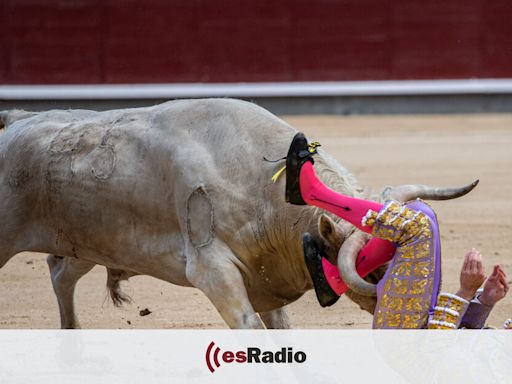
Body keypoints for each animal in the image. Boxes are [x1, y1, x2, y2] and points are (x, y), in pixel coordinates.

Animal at [0, 98, 476, 328]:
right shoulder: (213, 272)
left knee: (60, 273)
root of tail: (18, 119)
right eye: (372, 267)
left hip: (86, 242)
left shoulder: (265, 278)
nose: (423, 312)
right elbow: (250, 329)